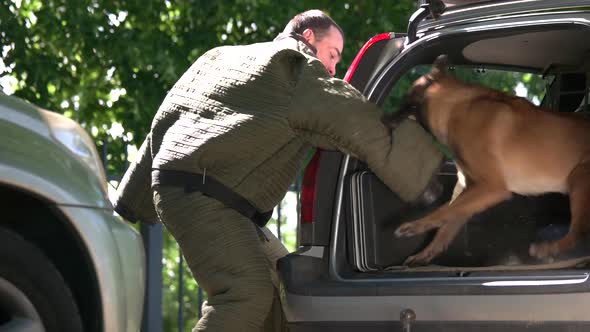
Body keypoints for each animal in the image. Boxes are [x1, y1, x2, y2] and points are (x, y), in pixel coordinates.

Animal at [382, 55, 590, 266]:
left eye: (404, 101)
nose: (382, 118)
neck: (455, 108)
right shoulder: (470, 189)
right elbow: (448, 221)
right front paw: (425, 254)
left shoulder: (490, 187)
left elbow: (444, 212)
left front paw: (415, 226)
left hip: (579, 176)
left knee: (579, 232)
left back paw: (549, 249)